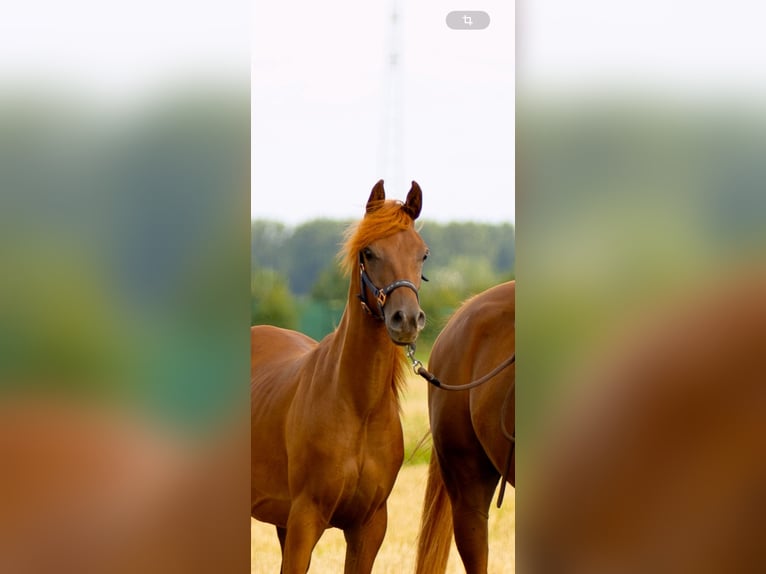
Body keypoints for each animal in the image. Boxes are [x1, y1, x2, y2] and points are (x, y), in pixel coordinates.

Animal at [251, 180, 429, 573]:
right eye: (369, 252)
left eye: (423, 254)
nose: (407, 319)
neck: (357, 406)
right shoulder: (305, 519)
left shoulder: (369, 526)